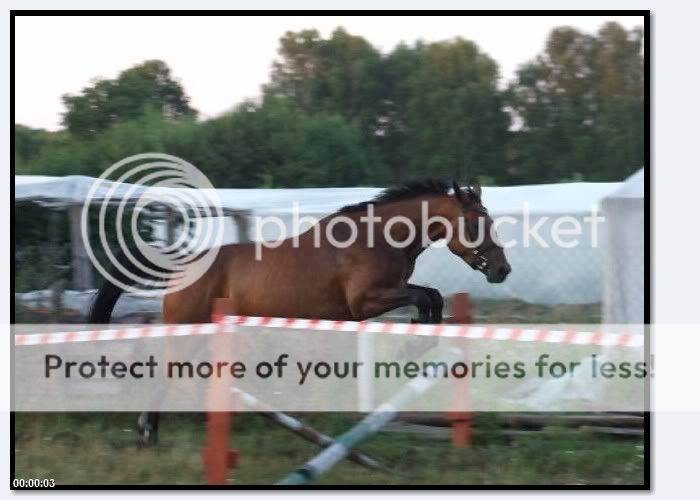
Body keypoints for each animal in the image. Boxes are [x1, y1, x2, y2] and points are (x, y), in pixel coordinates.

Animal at [88, 178, 511, 443]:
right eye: (475, 223)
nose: (502, 270)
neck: (379, 238)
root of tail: (182, 264)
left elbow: (433, 298)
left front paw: (417, 342)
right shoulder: (366, 300)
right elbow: (426, 298)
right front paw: (411, 348)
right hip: (188, 329)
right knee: (164, 371)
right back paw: (148, 432)